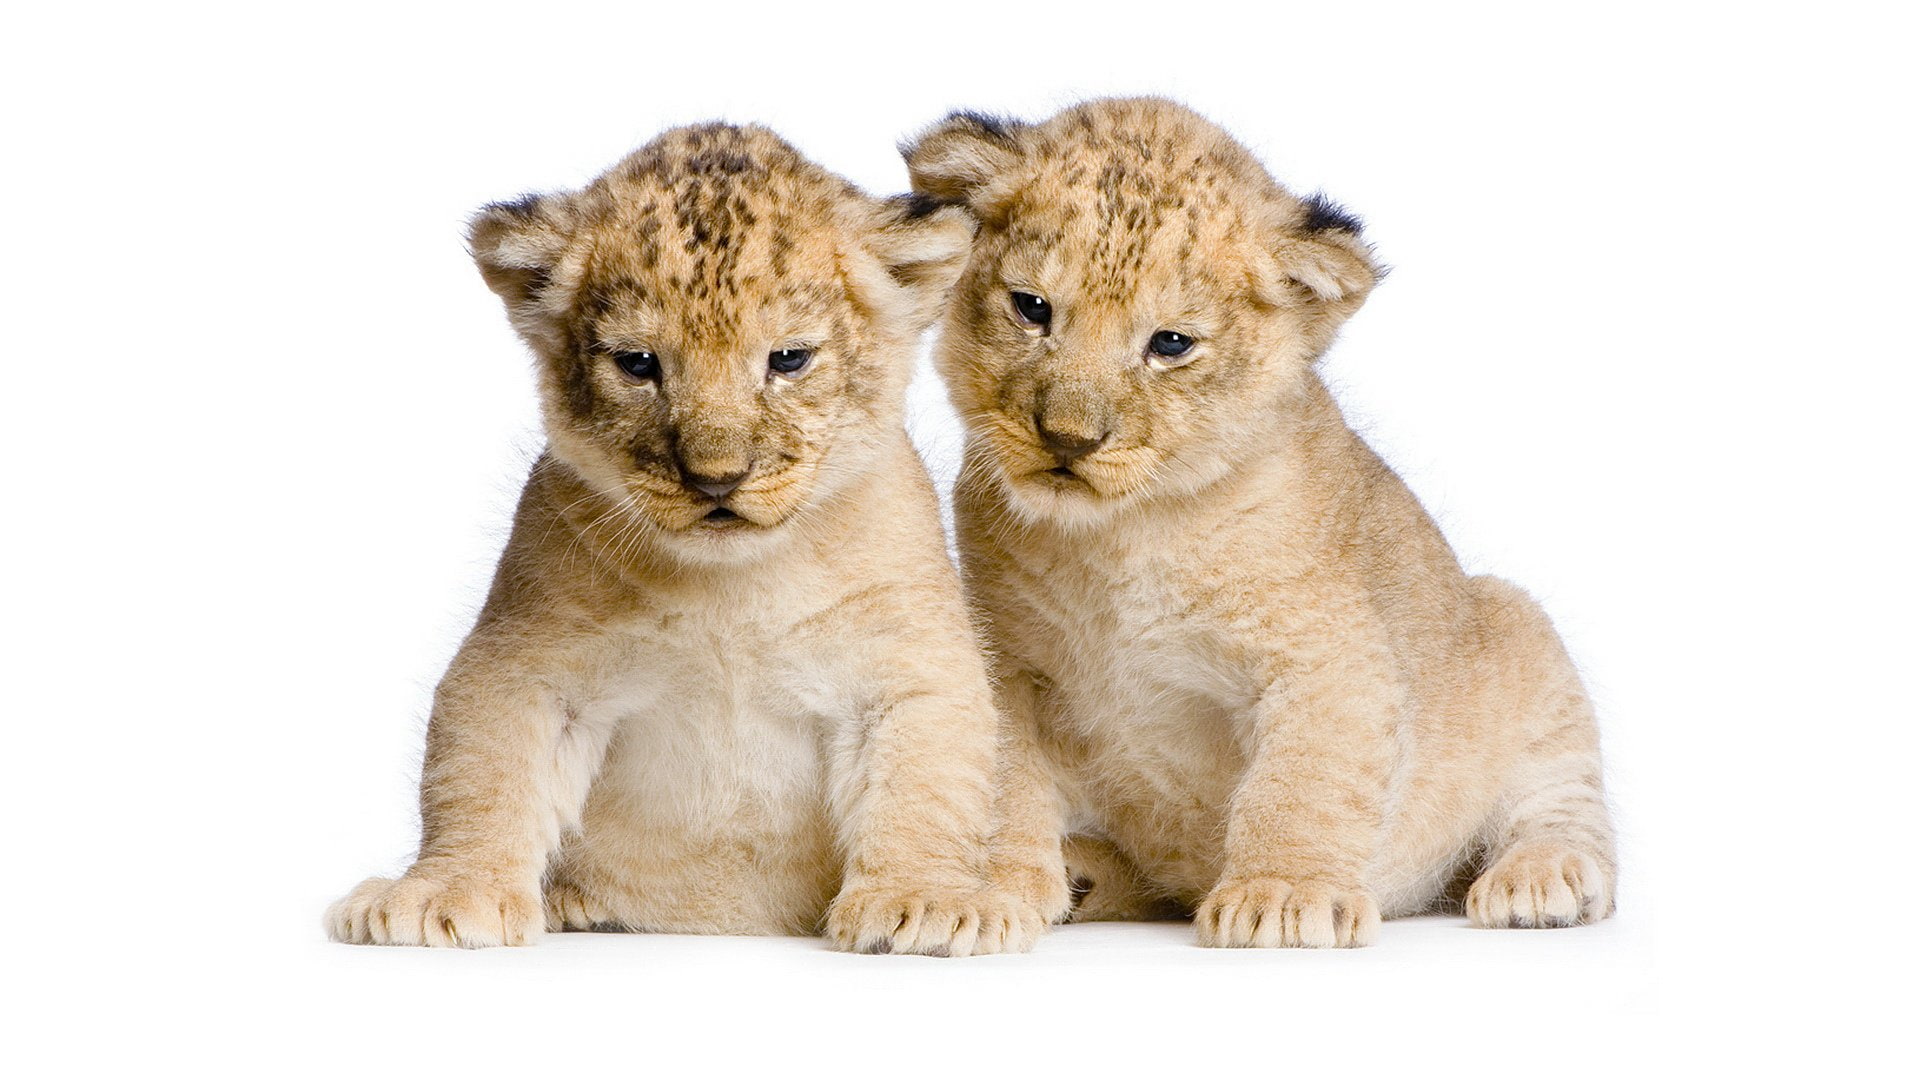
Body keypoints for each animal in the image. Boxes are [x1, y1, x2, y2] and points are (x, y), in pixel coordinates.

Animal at [904, 97, 1617, 946]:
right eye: (1032, 308)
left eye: (1170, 343)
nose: (1069, 439)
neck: (1118, 539)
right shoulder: (1004, 663)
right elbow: (1001, 777)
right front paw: (978, 891)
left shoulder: (1327, 657)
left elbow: (1303, 780)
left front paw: (1282, 893)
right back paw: (1083, 875)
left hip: (1518, 632)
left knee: (1564, 802)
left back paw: (1542, 879)